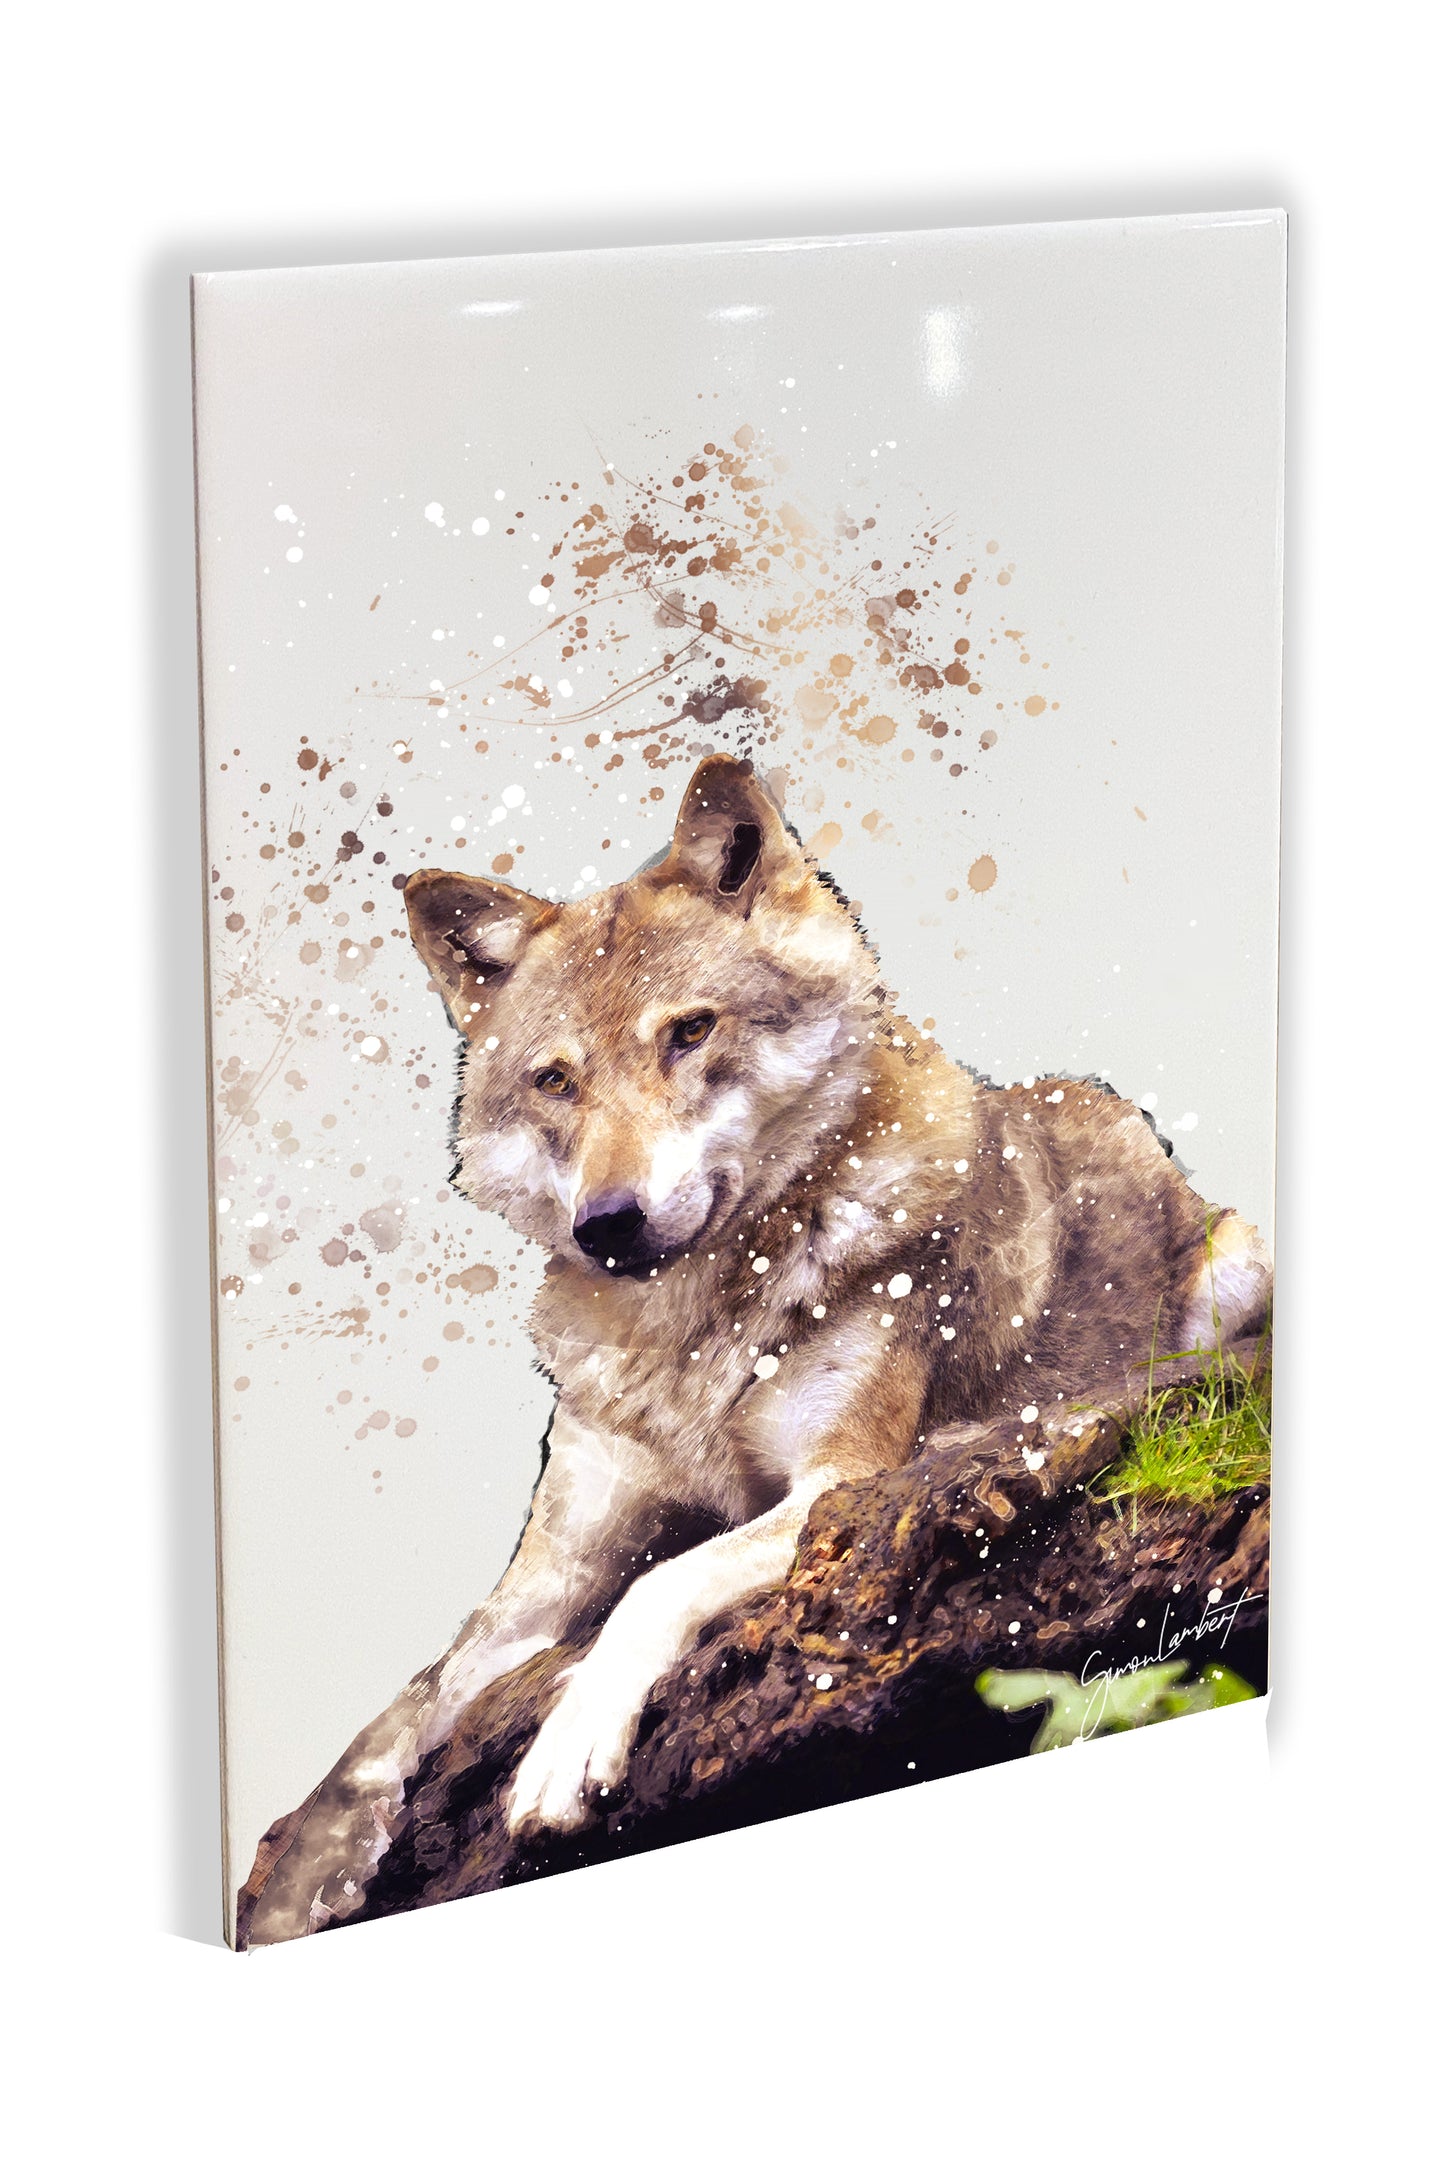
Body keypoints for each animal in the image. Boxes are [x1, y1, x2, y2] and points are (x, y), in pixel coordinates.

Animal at [243, 754, 1271, 1942]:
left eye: (688, 1032)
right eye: (555, 1081)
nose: (607, 1223)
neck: (689, 1334)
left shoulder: (834, 1483)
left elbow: (660, 1581)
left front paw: (563, 1753)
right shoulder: (551, 1567)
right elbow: (393, 1717)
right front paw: (298, 1884)